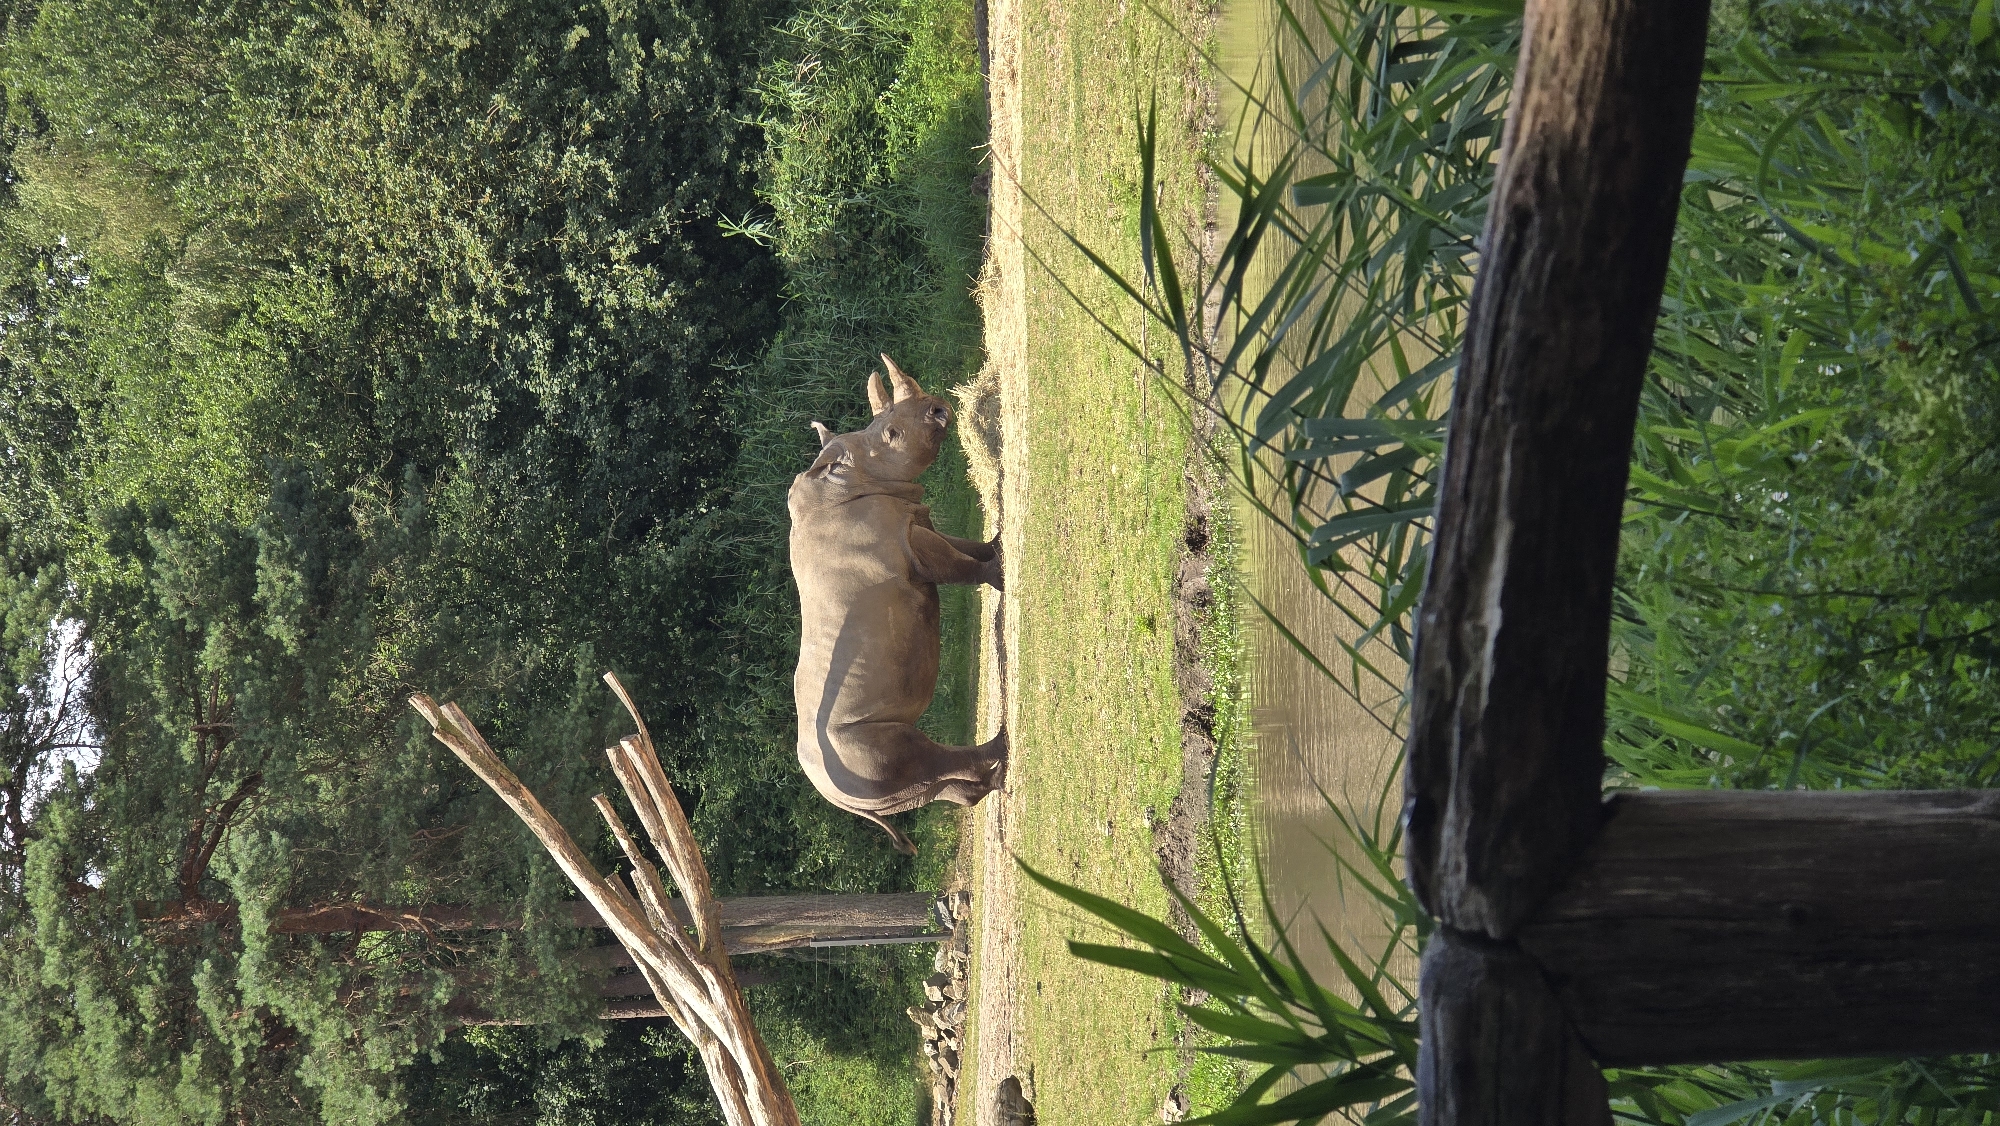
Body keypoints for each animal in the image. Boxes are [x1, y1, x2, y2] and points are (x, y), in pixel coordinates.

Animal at [789, 356, 1006, 854]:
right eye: (891, 434)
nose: (940, 410)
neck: (853, 477)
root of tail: (832, 796)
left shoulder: (916, 522)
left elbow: (964, 548)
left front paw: (1000, 543)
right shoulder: (910, 545)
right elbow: (957, 566)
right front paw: (1003, 574)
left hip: (860, 779)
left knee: (922, 786)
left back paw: (995, 779)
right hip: (857, 751)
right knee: (919, 758)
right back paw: (1006, 749)